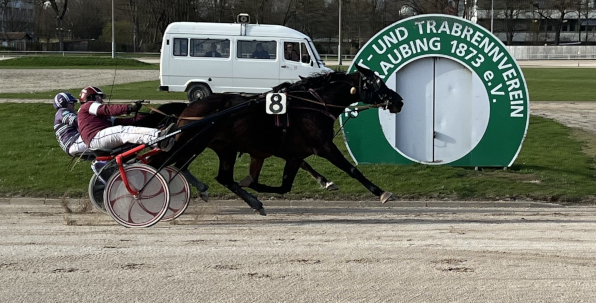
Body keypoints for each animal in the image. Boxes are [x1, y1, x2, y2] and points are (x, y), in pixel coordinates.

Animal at [154, 65, 406, 215]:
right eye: (378, 83)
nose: (398, 100)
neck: (313, 105)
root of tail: (188, 109)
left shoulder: (294, 154)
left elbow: (285, 186)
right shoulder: (323, 146)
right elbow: (352, 170)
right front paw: (382, 192)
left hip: (223, 147)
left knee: (221, 176)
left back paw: (251, 201)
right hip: (193, 142)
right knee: (166, 163)